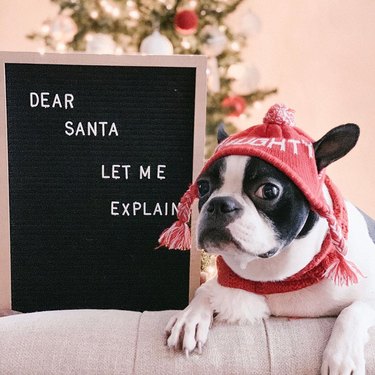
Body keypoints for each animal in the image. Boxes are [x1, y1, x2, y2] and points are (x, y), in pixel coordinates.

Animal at [163, 105, 375, 375]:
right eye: (202, 187)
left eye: (269, 191)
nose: (219, 204)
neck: (277, 275)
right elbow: (204, 290)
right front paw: (189, 318)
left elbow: (353, 310)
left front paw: (341, 357)